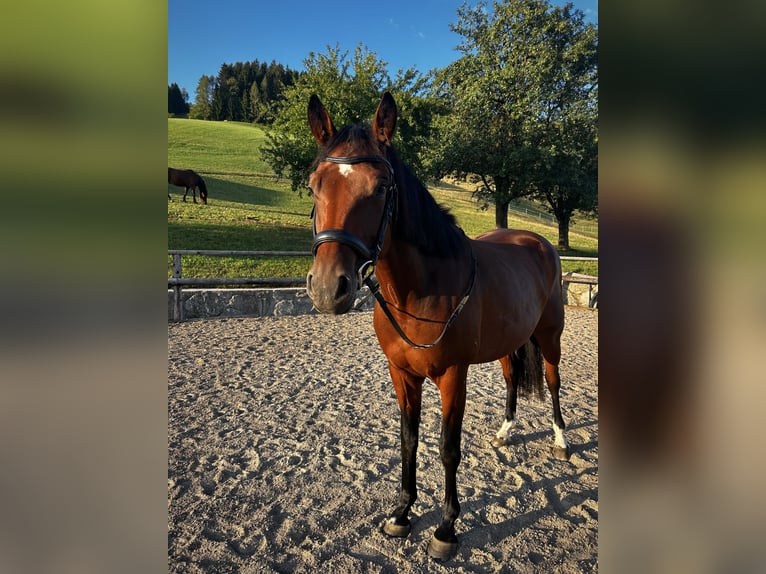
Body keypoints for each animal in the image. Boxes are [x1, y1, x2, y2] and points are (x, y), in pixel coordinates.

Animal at [305, 92, 569, 561]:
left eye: (381, 188)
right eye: (315, 184)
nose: (327, 288)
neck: (421, 289)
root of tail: (538, 242)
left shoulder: (452, 375)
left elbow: (448, 448)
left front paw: (446, 527)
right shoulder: (402, 374)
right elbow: (408, 440)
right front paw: (401, 513)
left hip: (549, 337)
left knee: (554, 381)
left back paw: (560, 440)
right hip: (510, 343)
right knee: (511, 380)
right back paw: (505, 432)